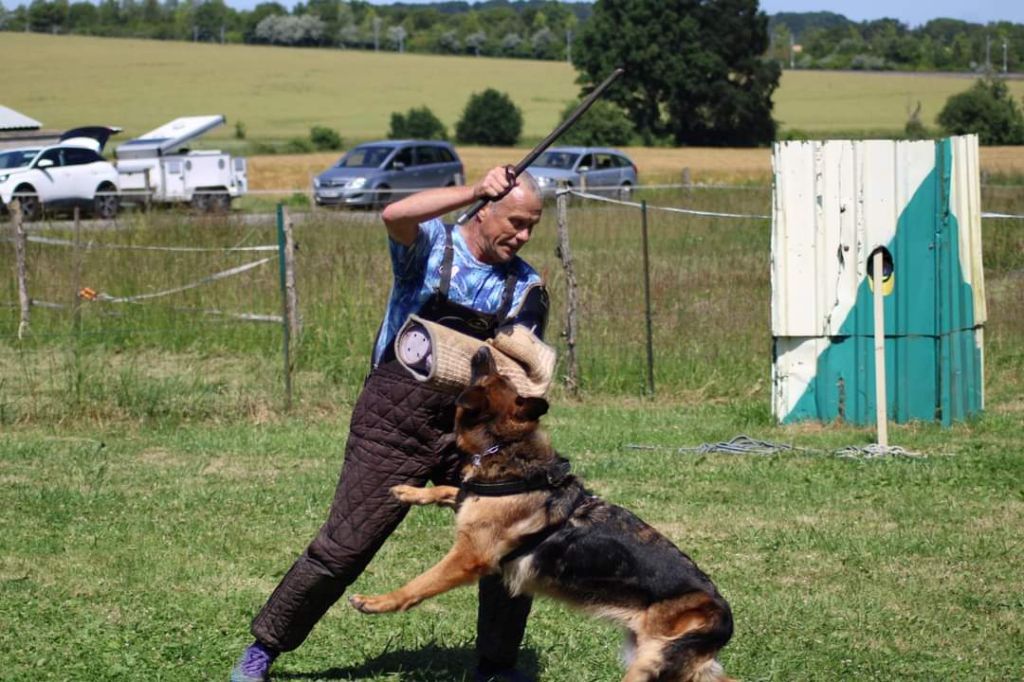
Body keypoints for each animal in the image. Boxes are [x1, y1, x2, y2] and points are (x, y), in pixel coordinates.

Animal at [352, 348, 737, 675]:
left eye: (488, 378)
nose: (483, 349)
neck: (504, 447)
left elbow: (419, 584)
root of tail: (725, 618)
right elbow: (452, 490)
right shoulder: (471, 499)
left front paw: (378, 601)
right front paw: (408, 491)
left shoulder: (468, 557)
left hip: (650, 663)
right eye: (500, 377)